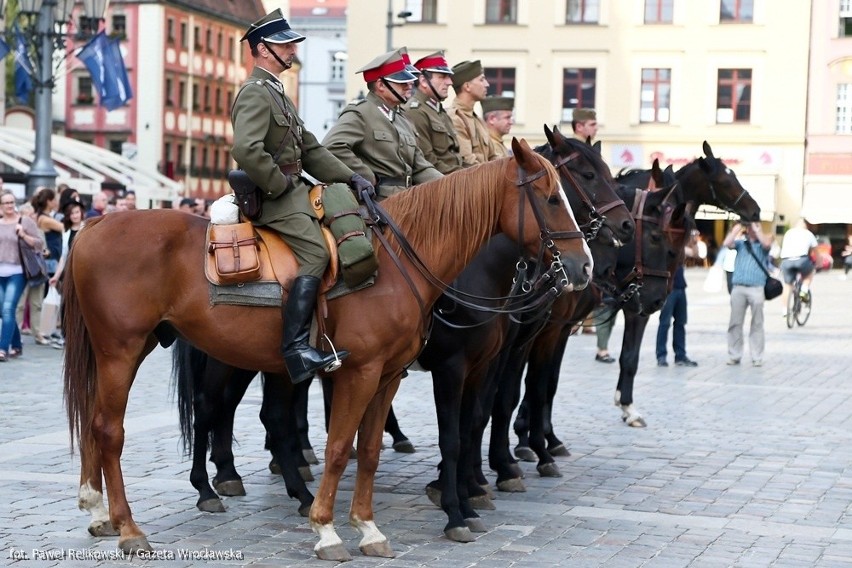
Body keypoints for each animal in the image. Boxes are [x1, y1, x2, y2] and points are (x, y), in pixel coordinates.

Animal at [63, 138, 592, 560]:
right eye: (552, 198)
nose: (584, 266)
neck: (398, 260)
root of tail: (93, 226)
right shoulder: (370, 372)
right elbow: (342, 447)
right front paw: (328, 530)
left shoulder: (390, 375)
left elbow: (371, 451)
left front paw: (369, 528)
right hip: (124, 350)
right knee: (117, 429)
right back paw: (132, 527)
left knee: (100, 419)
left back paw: (99, 509)